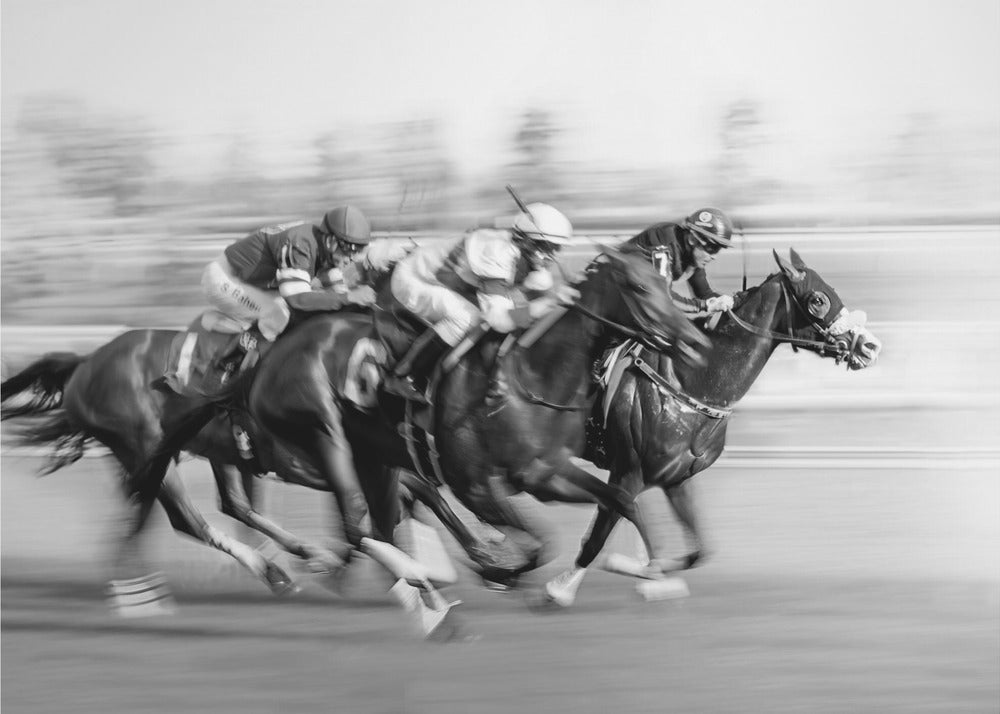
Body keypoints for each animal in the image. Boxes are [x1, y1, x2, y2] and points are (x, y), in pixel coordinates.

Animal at [542, 248, 883, 606]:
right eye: (818, 299)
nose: (870, 346)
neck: (689, 380)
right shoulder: (628, 471)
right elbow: (601, 530)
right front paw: (563, 586)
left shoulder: (675, 477)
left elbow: (700, 550)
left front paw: (647, 572)